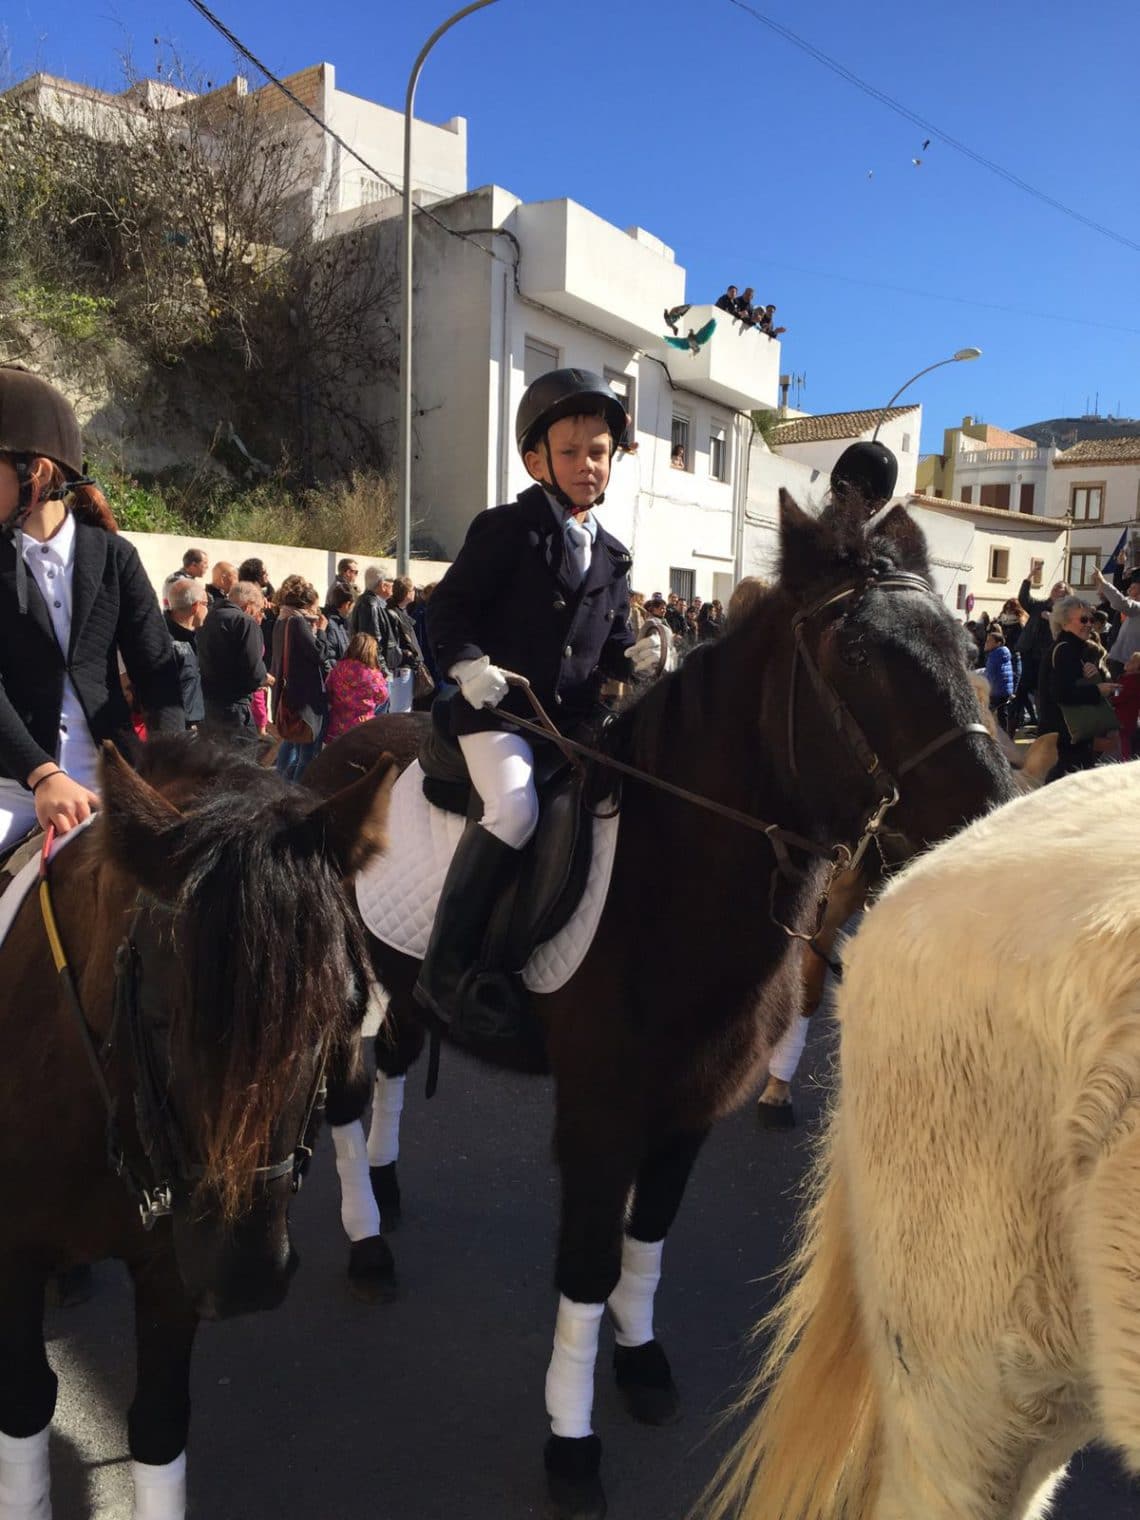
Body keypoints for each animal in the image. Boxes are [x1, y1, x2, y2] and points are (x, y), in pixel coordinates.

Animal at [0, 729, 398, 1513]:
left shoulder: (170, 1266)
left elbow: (158, 1425)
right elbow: (24, 1404)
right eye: (160, 1014)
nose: (242, 1280)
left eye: (338, 1011)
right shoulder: (10, 1257)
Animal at [305, 492, 1015, 1513]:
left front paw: (641, 1364)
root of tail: (339, 753)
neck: (673, 871)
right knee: (345, 1094)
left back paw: (388, 1186)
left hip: (406, 987)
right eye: (856, 656)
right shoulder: (600, 1114)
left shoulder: (693, 1103)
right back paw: (367, 1243)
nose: (998, 819)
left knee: (394, 1066)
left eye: (963, 644)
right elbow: (589, 1269)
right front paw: (571, 1446)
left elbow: (647, 1243)